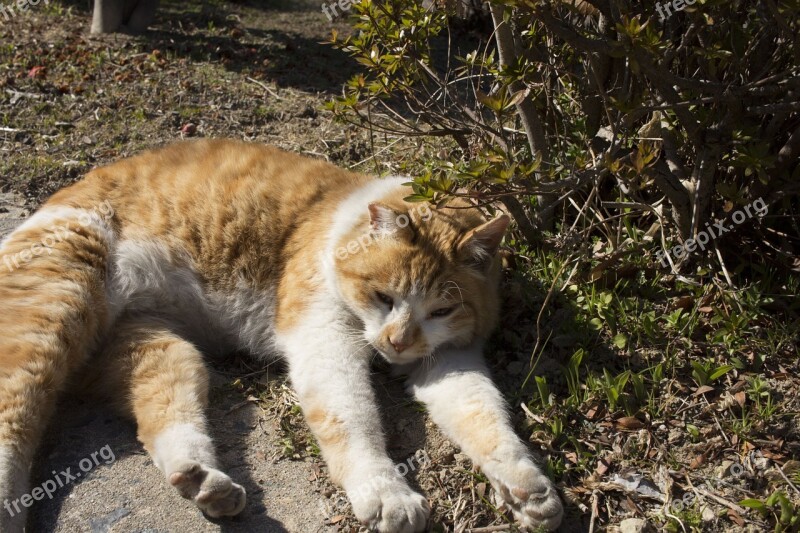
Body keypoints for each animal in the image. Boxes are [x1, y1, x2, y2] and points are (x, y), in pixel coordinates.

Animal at [0, 139, 564, 528]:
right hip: (55, 310)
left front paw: (528, 488)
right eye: (383, 297)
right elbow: (351, 418)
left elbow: (483, 415)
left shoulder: (448, 360)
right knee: (15, 415)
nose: (397, 343)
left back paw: (204, 483)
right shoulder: (324, 339)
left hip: (157, 347)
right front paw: (384, 492)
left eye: (442, 310)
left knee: (164, 409)